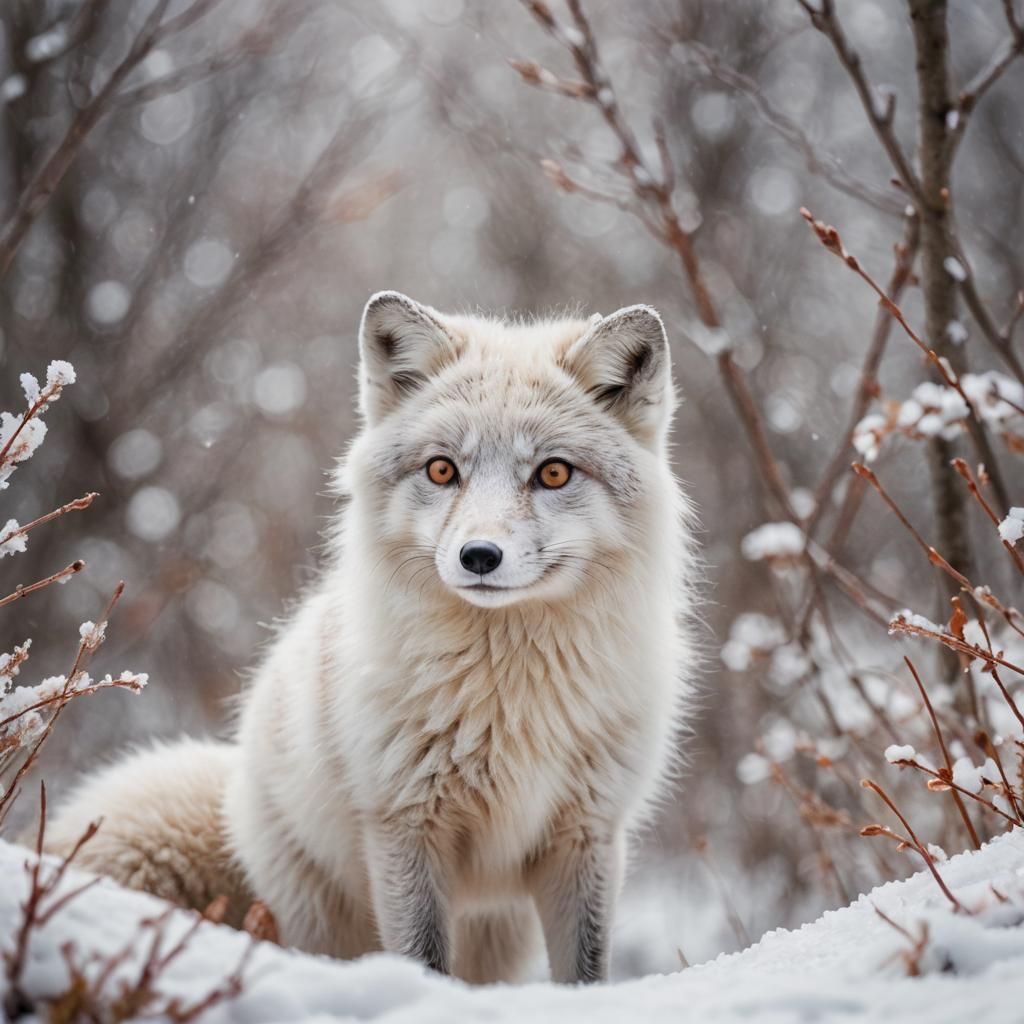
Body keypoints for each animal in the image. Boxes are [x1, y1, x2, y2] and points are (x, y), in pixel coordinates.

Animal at [44, 292, 698, 984]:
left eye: (552, 474)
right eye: (442, 470)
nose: (479, 556)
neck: (508, 700)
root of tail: (234, 788)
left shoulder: (588, 833)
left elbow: (585, 973)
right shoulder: (403, 829)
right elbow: (425, 963)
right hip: (321, 918)